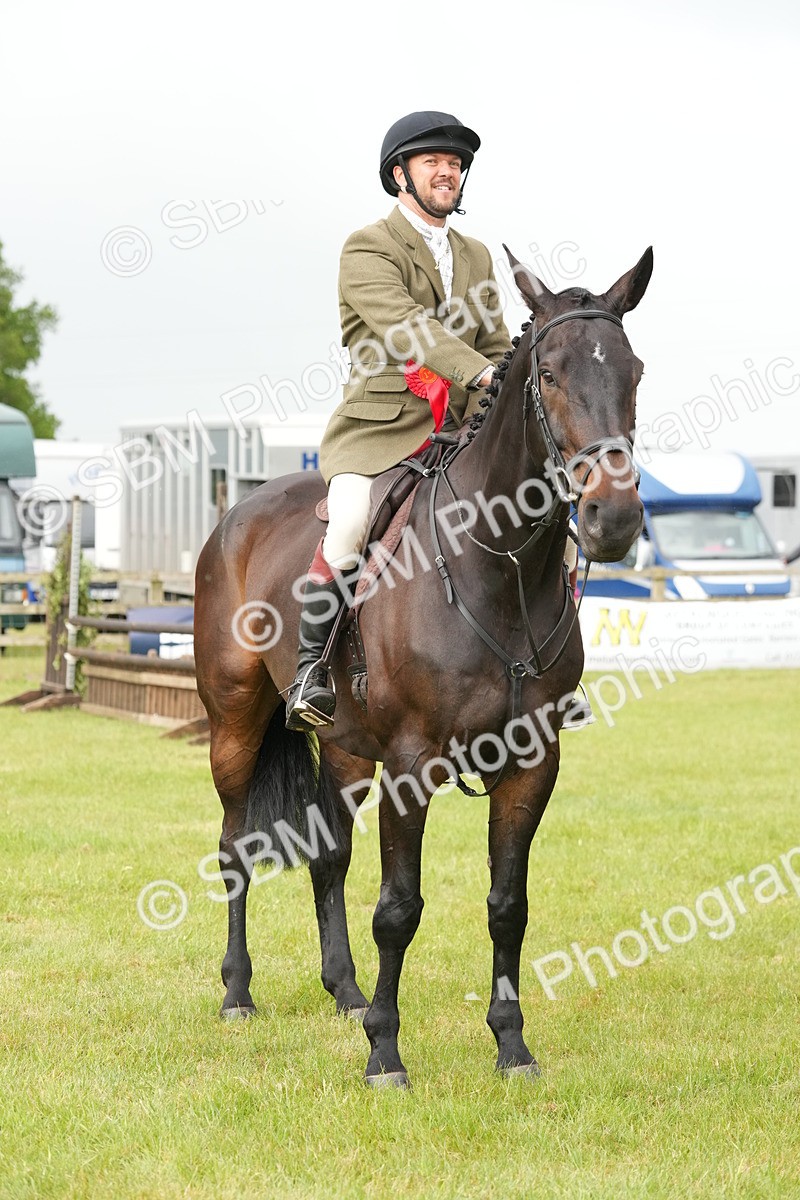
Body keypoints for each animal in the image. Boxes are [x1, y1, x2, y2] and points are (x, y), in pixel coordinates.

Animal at [193, 245, 653, 1088]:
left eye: (634, 371)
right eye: (549, 374)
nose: (615, 518)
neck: (499, 566)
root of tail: (237, 513)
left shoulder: (534, 762)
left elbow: (509, 905)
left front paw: (511, 1045)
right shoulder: (412, 762)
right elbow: (399, 909)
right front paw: (385, 1053)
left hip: (344, 744)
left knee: (330, 855)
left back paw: (344, 992)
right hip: (235, 722)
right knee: (236, 846)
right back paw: (238, 993)